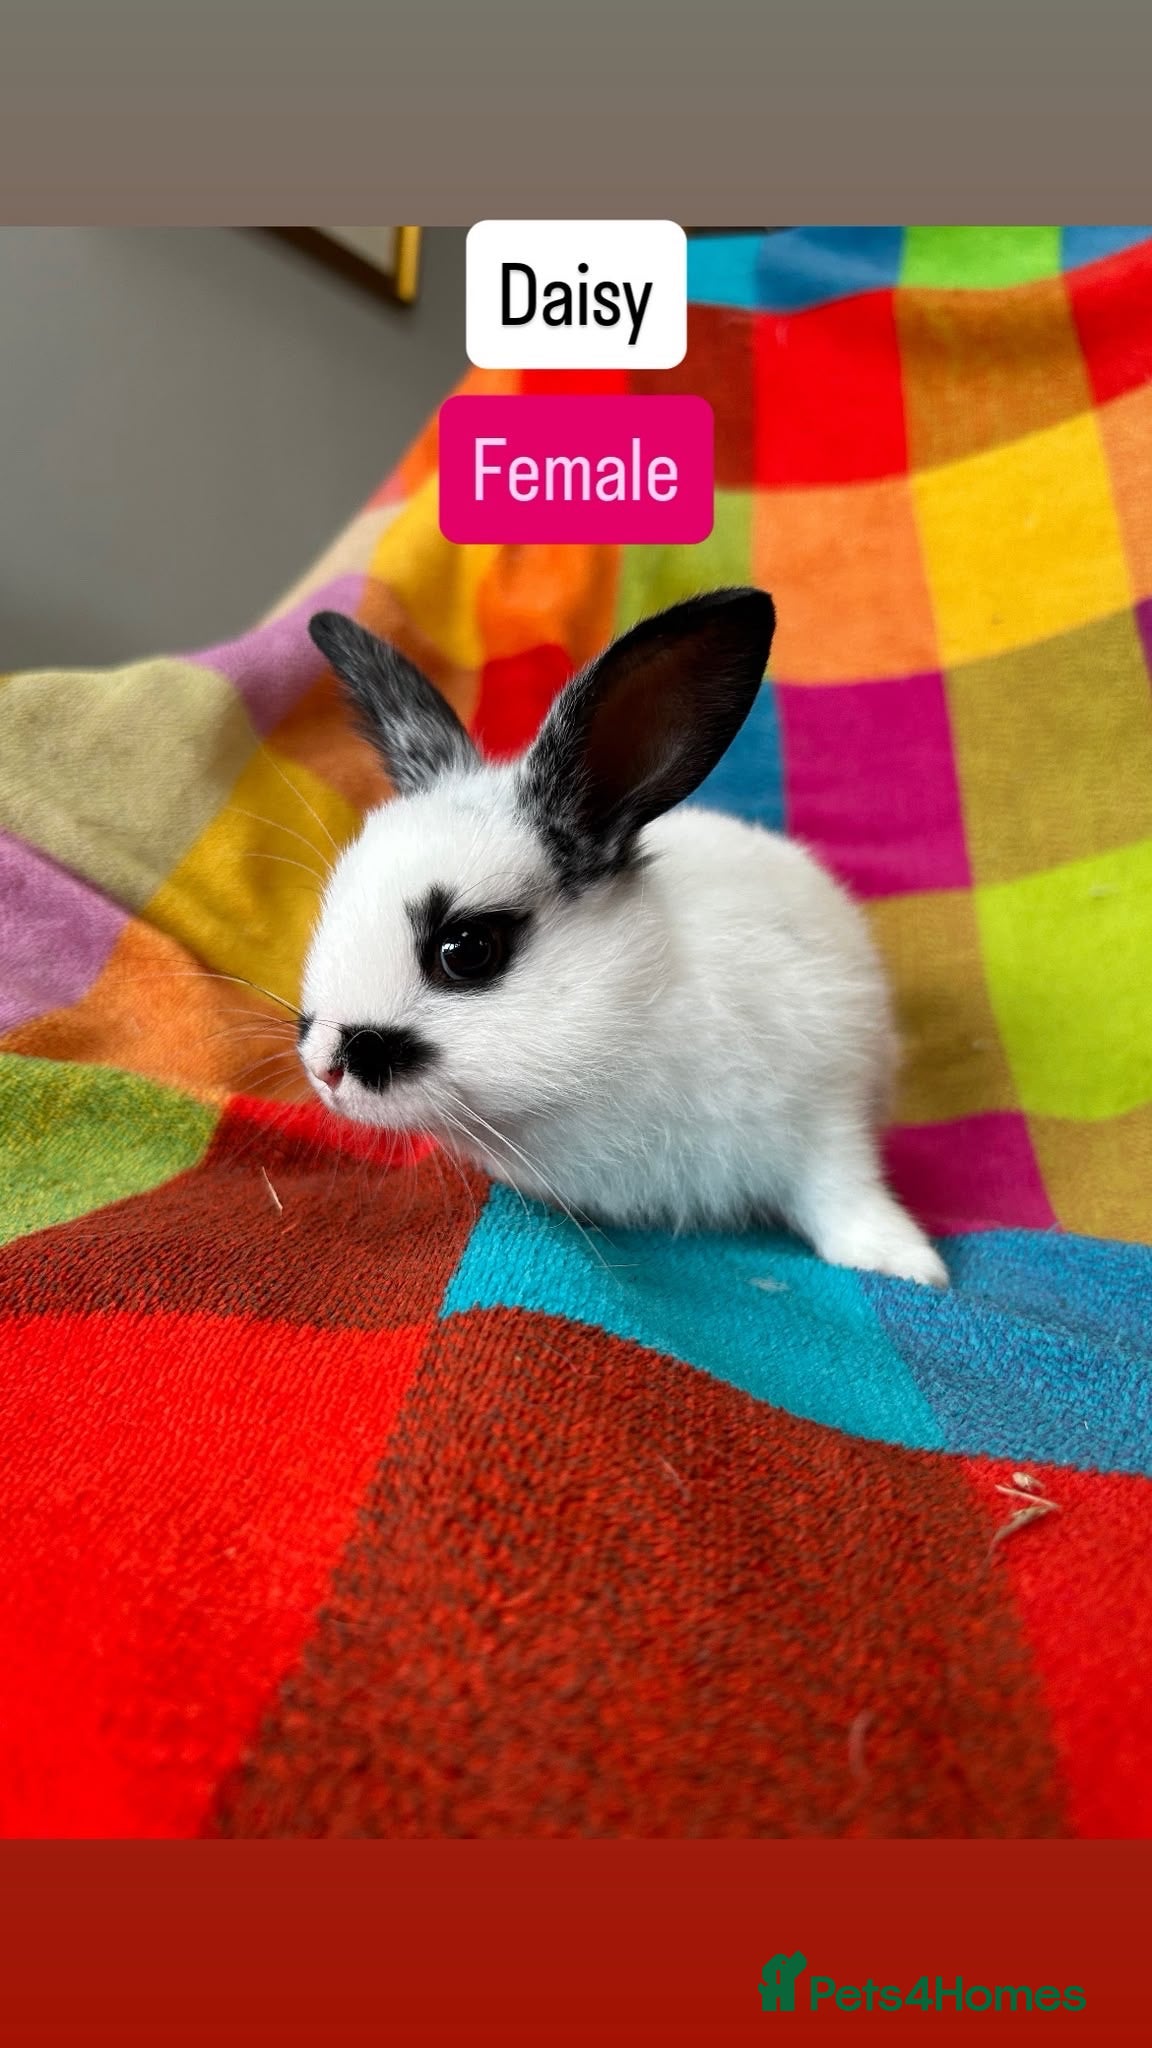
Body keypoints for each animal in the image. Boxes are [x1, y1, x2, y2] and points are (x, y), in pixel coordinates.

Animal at [297, 588, 948, 1287]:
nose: (324, 1069)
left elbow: (844, 1189)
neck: (628, 1018)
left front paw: (906, 1265)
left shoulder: (827, 1106)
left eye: (466, 949)